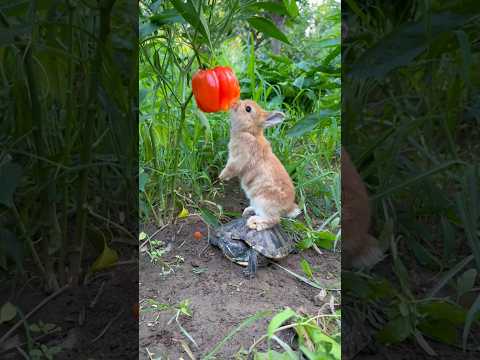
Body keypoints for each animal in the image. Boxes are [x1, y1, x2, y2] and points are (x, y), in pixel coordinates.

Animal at [218, 99, 300, 231]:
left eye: (248, 109)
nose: (234, 103)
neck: (249, 132)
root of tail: (288, 208)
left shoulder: (239, 158)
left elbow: (231, 168)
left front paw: (221, 177)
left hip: (262, 201)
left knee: (274, 220)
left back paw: (254, 223)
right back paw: (248, 211)